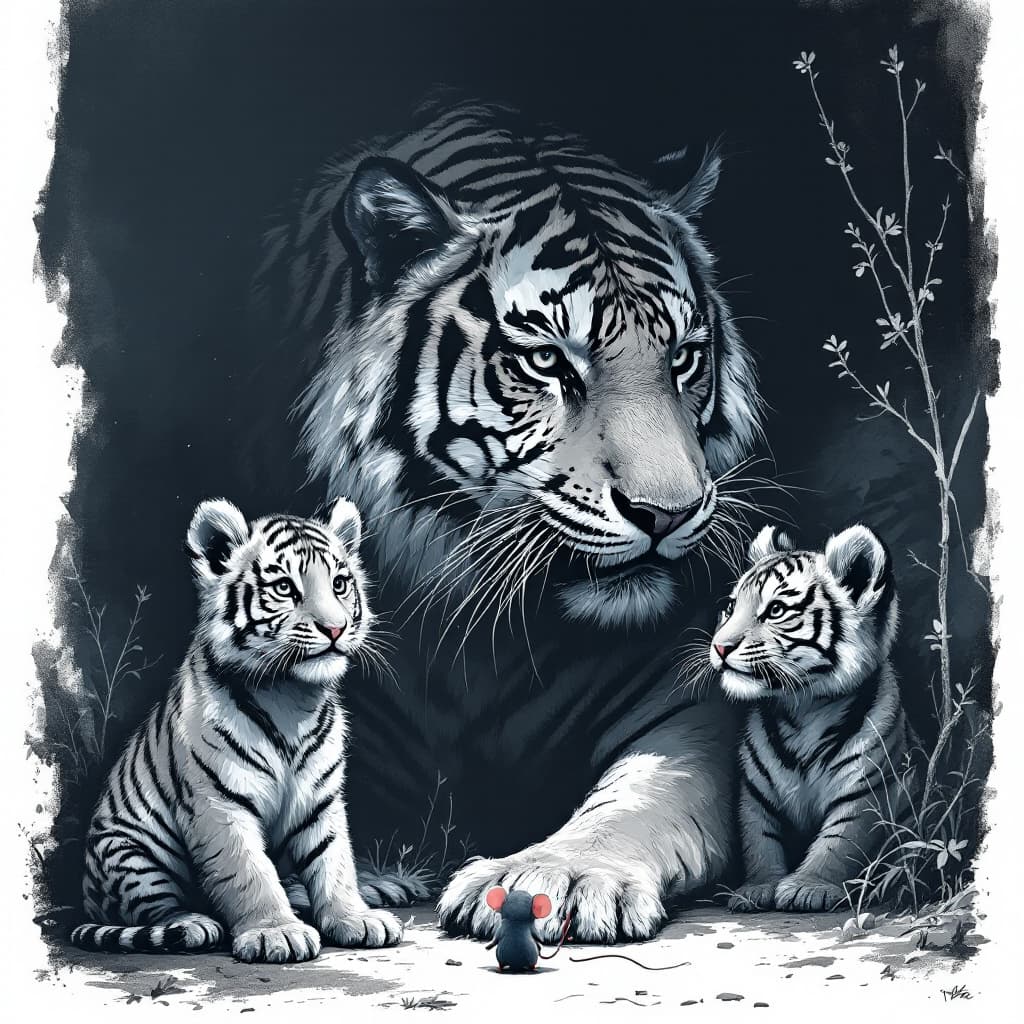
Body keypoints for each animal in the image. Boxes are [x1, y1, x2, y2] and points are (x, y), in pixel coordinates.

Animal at [69, 498, 403, 960]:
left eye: (339, 584)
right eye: (284, 587)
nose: (335, 628)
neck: (291, 696)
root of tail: (85, 897)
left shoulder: (320, 799)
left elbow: (334, 861)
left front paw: (355, 918)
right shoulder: (219, 803)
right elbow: (248, 871)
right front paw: (276, 932)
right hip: (129, 854)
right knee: (156, 910)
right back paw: (191, 923)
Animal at [250, 99, 764, 942]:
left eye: (683, 357)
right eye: (550, 362)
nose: (669, 512)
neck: (474, 644)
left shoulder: (684, 709)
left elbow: (636, 800)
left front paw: (553, 876)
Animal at [710, 523, 919, 913]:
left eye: (776, 609)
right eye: (731, 607)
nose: (719, 647)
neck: (802, 708)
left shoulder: (866, 786)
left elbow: (840, 839)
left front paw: (809, 888)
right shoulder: (755, 793)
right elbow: (759, 838)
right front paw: (757, 889)